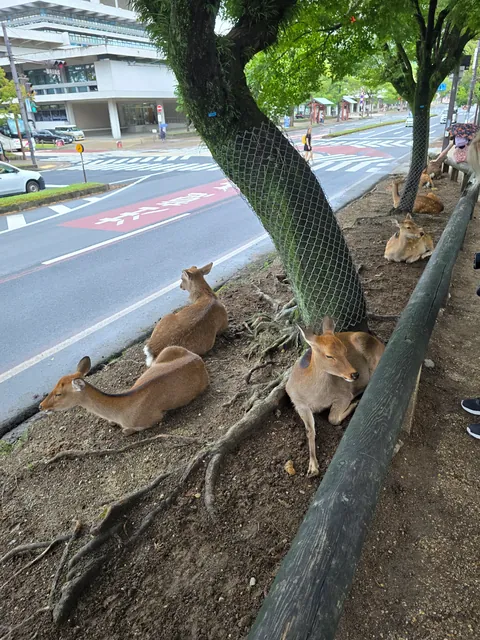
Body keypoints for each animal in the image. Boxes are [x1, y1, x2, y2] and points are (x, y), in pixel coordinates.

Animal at [40, 348, 209, 435]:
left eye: (59, 393)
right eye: (54, 386)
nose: (41, 406)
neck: (121, 411)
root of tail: (197, 358)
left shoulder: (154, 417)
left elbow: (126, 431)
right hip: (169, 349)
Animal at [286, 317, 385, 477]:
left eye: (345, 350)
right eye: (329, 355)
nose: (355, 374)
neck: (315, 396)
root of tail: (381, 344)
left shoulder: (344, 394)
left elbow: (333, 418)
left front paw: (354, 404)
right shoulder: (298, 403)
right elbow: (309, 430)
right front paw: (312, 468)